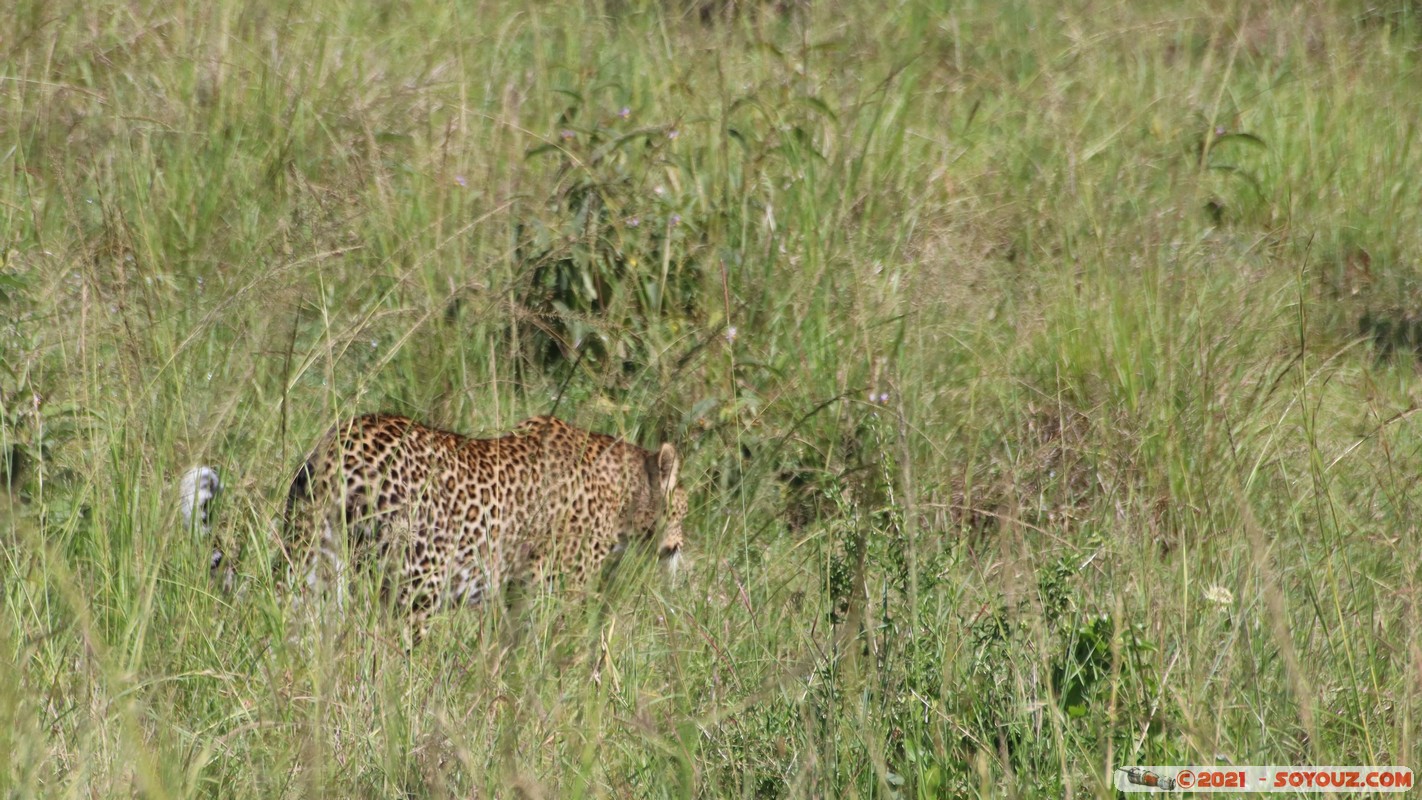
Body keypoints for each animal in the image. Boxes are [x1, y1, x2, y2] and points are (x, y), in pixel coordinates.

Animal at [274, 412, 691, 639]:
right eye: (685, 510)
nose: (681, 545)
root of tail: (339, 447)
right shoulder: (558, 591)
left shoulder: (516, 594)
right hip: (416, 584)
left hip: (311, 564)